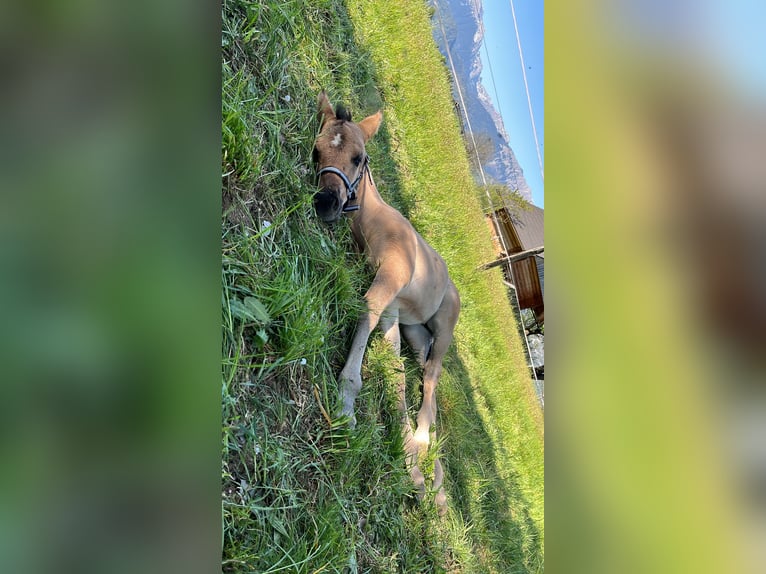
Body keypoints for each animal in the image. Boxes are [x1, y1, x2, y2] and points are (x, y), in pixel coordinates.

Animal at [312, 91, 460, 513]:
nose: (325, 203)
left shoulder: (391, 277)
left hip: (445, 326)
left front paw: (346, 403)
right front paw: (410, 466)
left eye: (359, 158)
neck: (373, 222)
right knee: (423, 370)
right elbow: (394, 373)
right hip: (416, 331)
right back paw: (432, 474)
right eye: (316, 152)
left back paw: (425, 445)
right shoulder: (395, 311)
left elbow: (366, 308)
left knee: (433, 376)